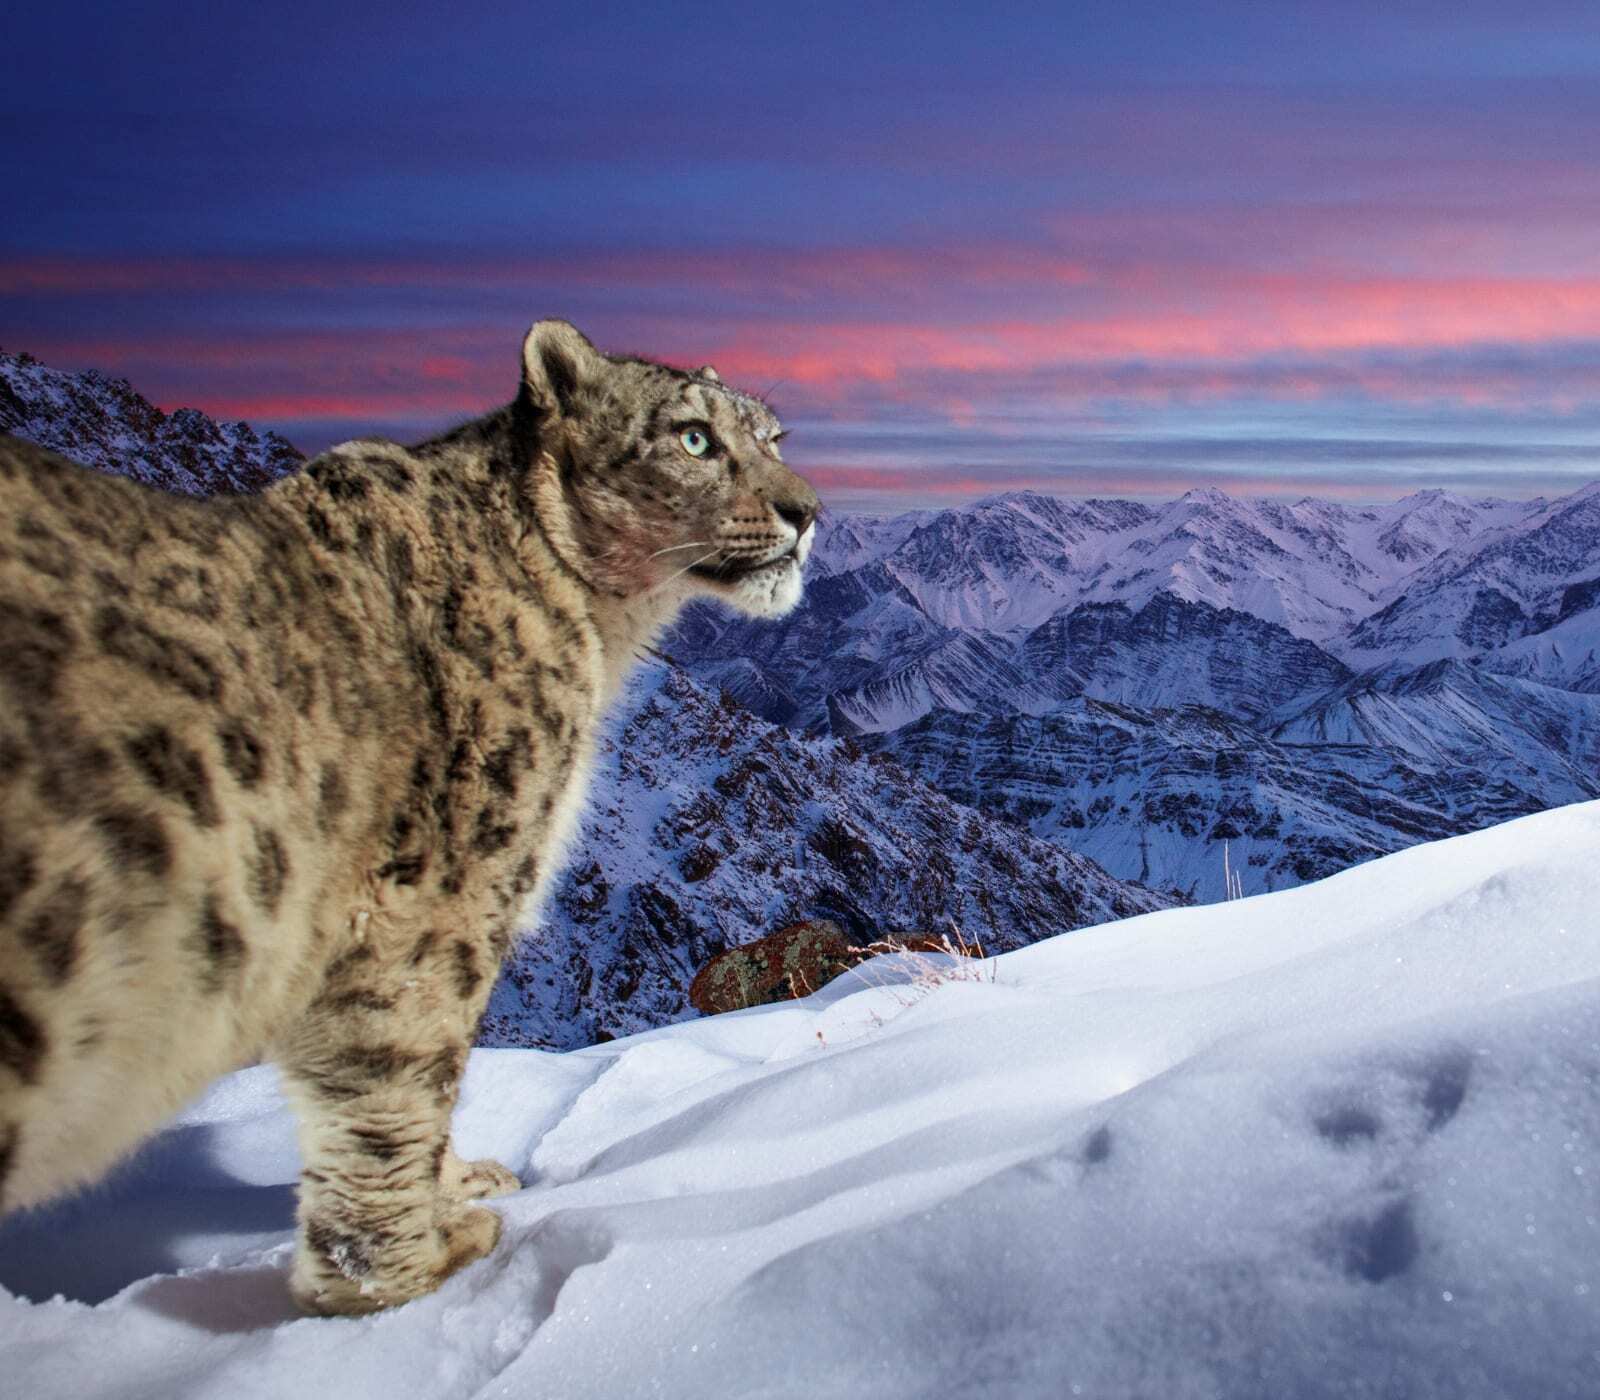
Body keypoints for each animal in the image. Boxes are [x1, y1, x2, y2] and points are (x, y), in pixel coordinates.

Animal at [0, 319, 818, 1314]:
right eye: (694, 438)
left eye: (772, 437)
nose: (807, 511)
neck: (601, 631)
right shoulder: (439, 898)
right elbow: (399, 1077)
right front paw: (409, 1272)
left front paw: (459, 1185)